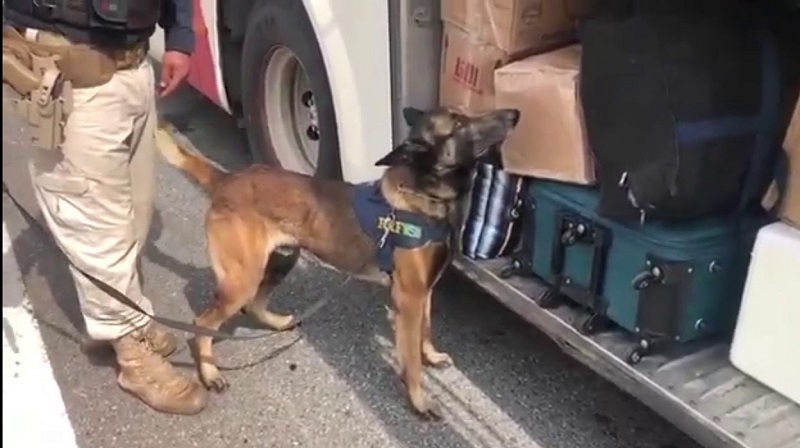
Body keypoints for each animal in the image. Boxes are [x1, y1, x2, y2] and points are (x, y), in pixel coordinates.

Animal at [157, 107, 520, 418]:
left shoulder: (425, 292)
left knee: (255, 304)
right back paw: (209, 373)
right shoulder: (409, 299)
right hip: (242, 280)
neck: (424, 197)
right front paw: (419, 401)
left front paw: (431, 355)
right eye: (458, 123)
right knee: (202, 325)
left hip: (281, 260)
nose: (514, 114)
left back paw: (278, 322)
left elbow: (426, 332)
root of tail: (226, 179)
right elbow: (412, 361)